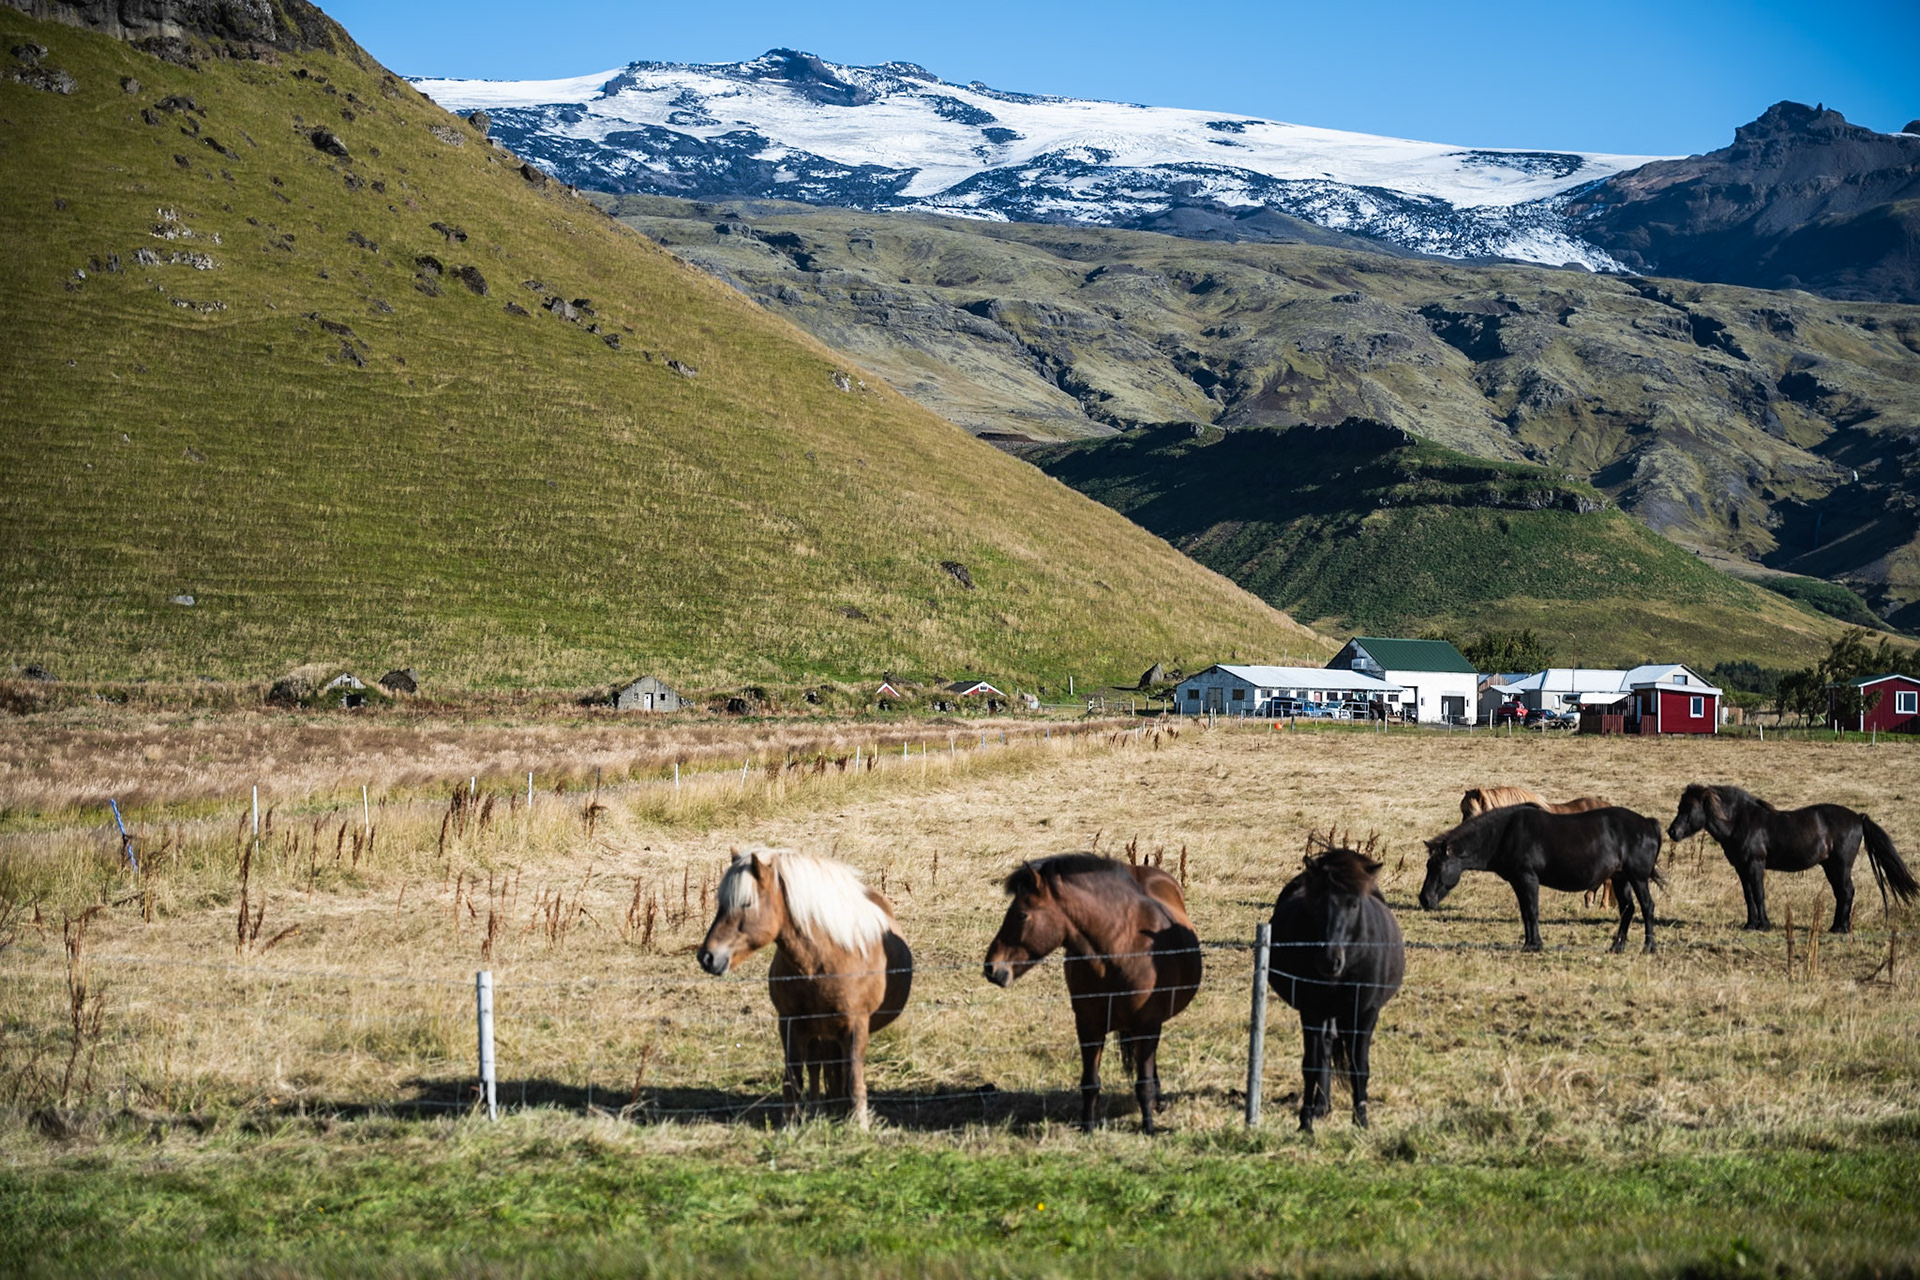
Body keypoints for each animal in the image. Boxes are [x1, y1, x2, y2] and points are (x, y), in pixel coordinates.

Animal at [697, 846, 912, 1128]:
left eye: (746, 903)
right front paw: (790, 1125)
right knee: (817, 1067)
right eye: (720, 904)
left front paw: (859, 1126)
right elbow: (794, 1079)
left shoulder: (856, 1027)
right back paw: (820, 1111)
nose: (707, 957)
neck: (823, 961)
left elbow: (854, 1079)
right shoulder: (790, 1024)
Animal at [983, 854, 1202, 1133]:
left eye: (1021, 915)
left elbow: (1143, 1082)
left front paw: (1148, 1128)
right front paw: (1087, 1127)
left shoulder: (1147, 1025)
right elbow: (1090, 1081)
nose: (991, 968)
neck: (1121, 952)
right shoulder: (1088, 1026)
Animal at [1268, 842, 1405, 1133]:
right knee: (1326, 1048)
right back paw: (1321, 1106)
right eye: (1318, 902)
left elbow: (1359, 1066)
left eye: (1354, 904)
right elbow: (1311, 1064)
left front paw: (1361, 1121)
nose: (1329, 960)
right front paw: (1305, 1123)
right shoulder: (1311, 1011)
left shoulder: (1365, 1012)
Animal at [1420, 805, 1664, 952]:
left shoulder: (1528, 879)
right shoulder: (1518, 882)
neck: (1506, 834)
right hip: (1621, 878)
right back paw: (1617, 947)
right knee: (1628, 909)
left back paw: (1649, 946)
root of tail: (1648, 823)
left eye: (1438, 867)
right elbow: (1525, 913)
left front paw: (1534, 945)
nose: (1424, 899)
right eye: (1428, 865)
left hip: (1638, 878)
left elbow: (1532, 911)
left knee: (1647, 907)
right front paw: (1529, 943)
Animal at [1668, 784, 1919, 933]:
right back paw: (1835, 927)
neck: (1741, 821)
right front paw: (1750, 924)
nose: (1672, 832)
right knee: (1842, 894)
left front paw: (1764, 925)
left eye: (1689, 808)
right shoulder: (1742, 868)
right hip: (1831, 867)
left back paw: (1841, 929)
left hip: (1840, 866)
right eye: (1679, 806)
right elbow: (1748, 896)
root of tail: (1858, 817)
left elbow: (1759, 894)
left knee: (1847, 892)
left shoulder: (1755, 865)